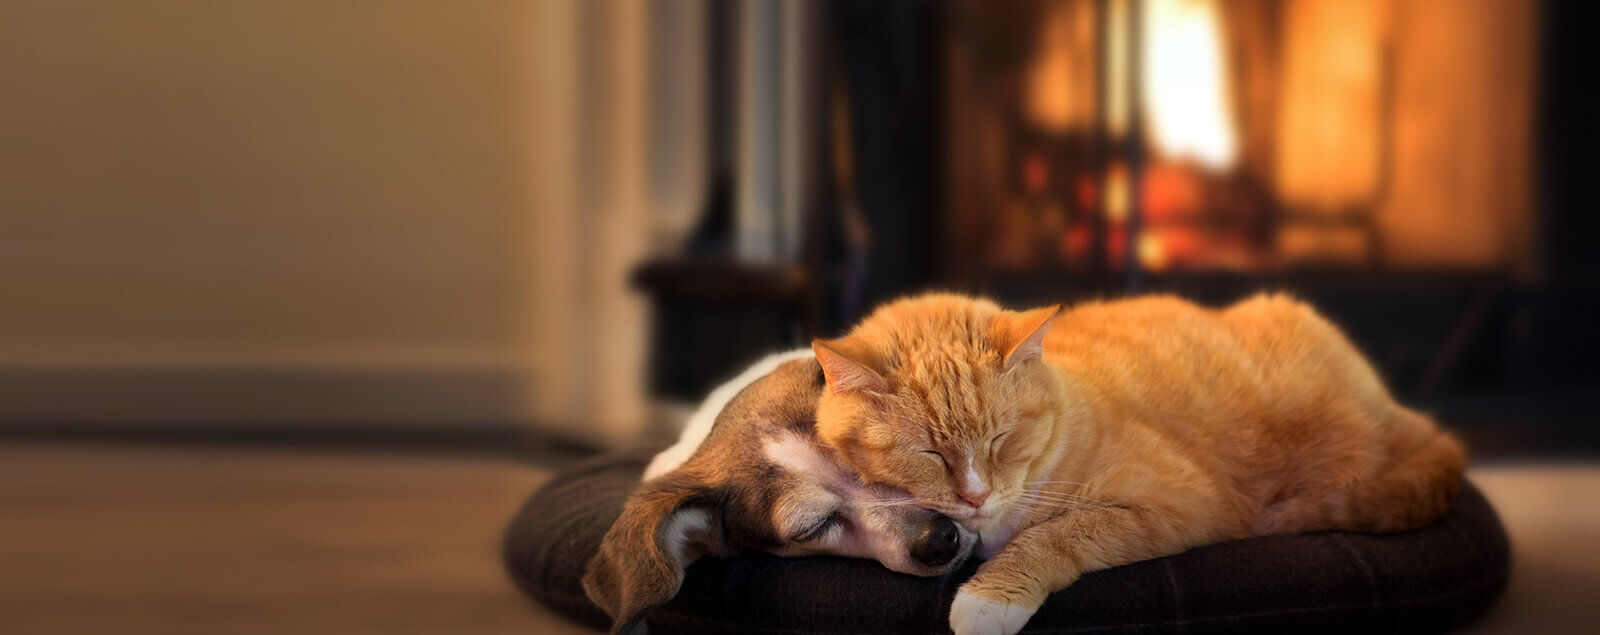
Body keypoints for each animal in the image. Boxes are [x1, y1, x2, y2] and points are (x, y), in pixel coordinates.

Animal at [812, 292, 1465, 633]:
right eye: (929, 452)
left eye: (1001, 439)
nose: (975, 495)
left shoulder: (1181, 504)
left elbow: (1060, 534)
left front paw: (989, 599)